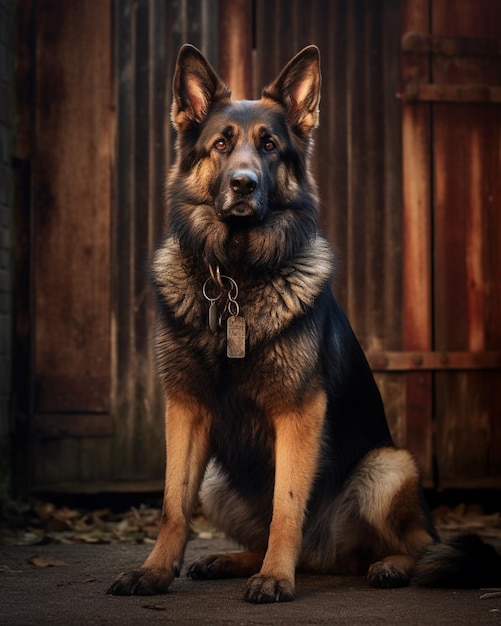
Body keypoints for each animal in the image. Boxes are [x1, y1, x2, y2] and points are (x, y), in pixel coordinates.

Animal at [107, 44, 498, 600]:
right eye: (221, 145)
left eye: (270, 146)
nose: (243, 184)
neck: (237, 277)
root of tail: (325, 555)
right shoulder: (185, 408)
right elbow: (172, 505)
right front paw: (156, 570)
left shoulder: (299, 413)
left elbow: (286, 506)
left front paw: (274, 576)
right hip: (218, 481)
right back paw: (233, 560)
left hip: (389, 466)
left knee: (419, 544)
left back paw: (389, 566)